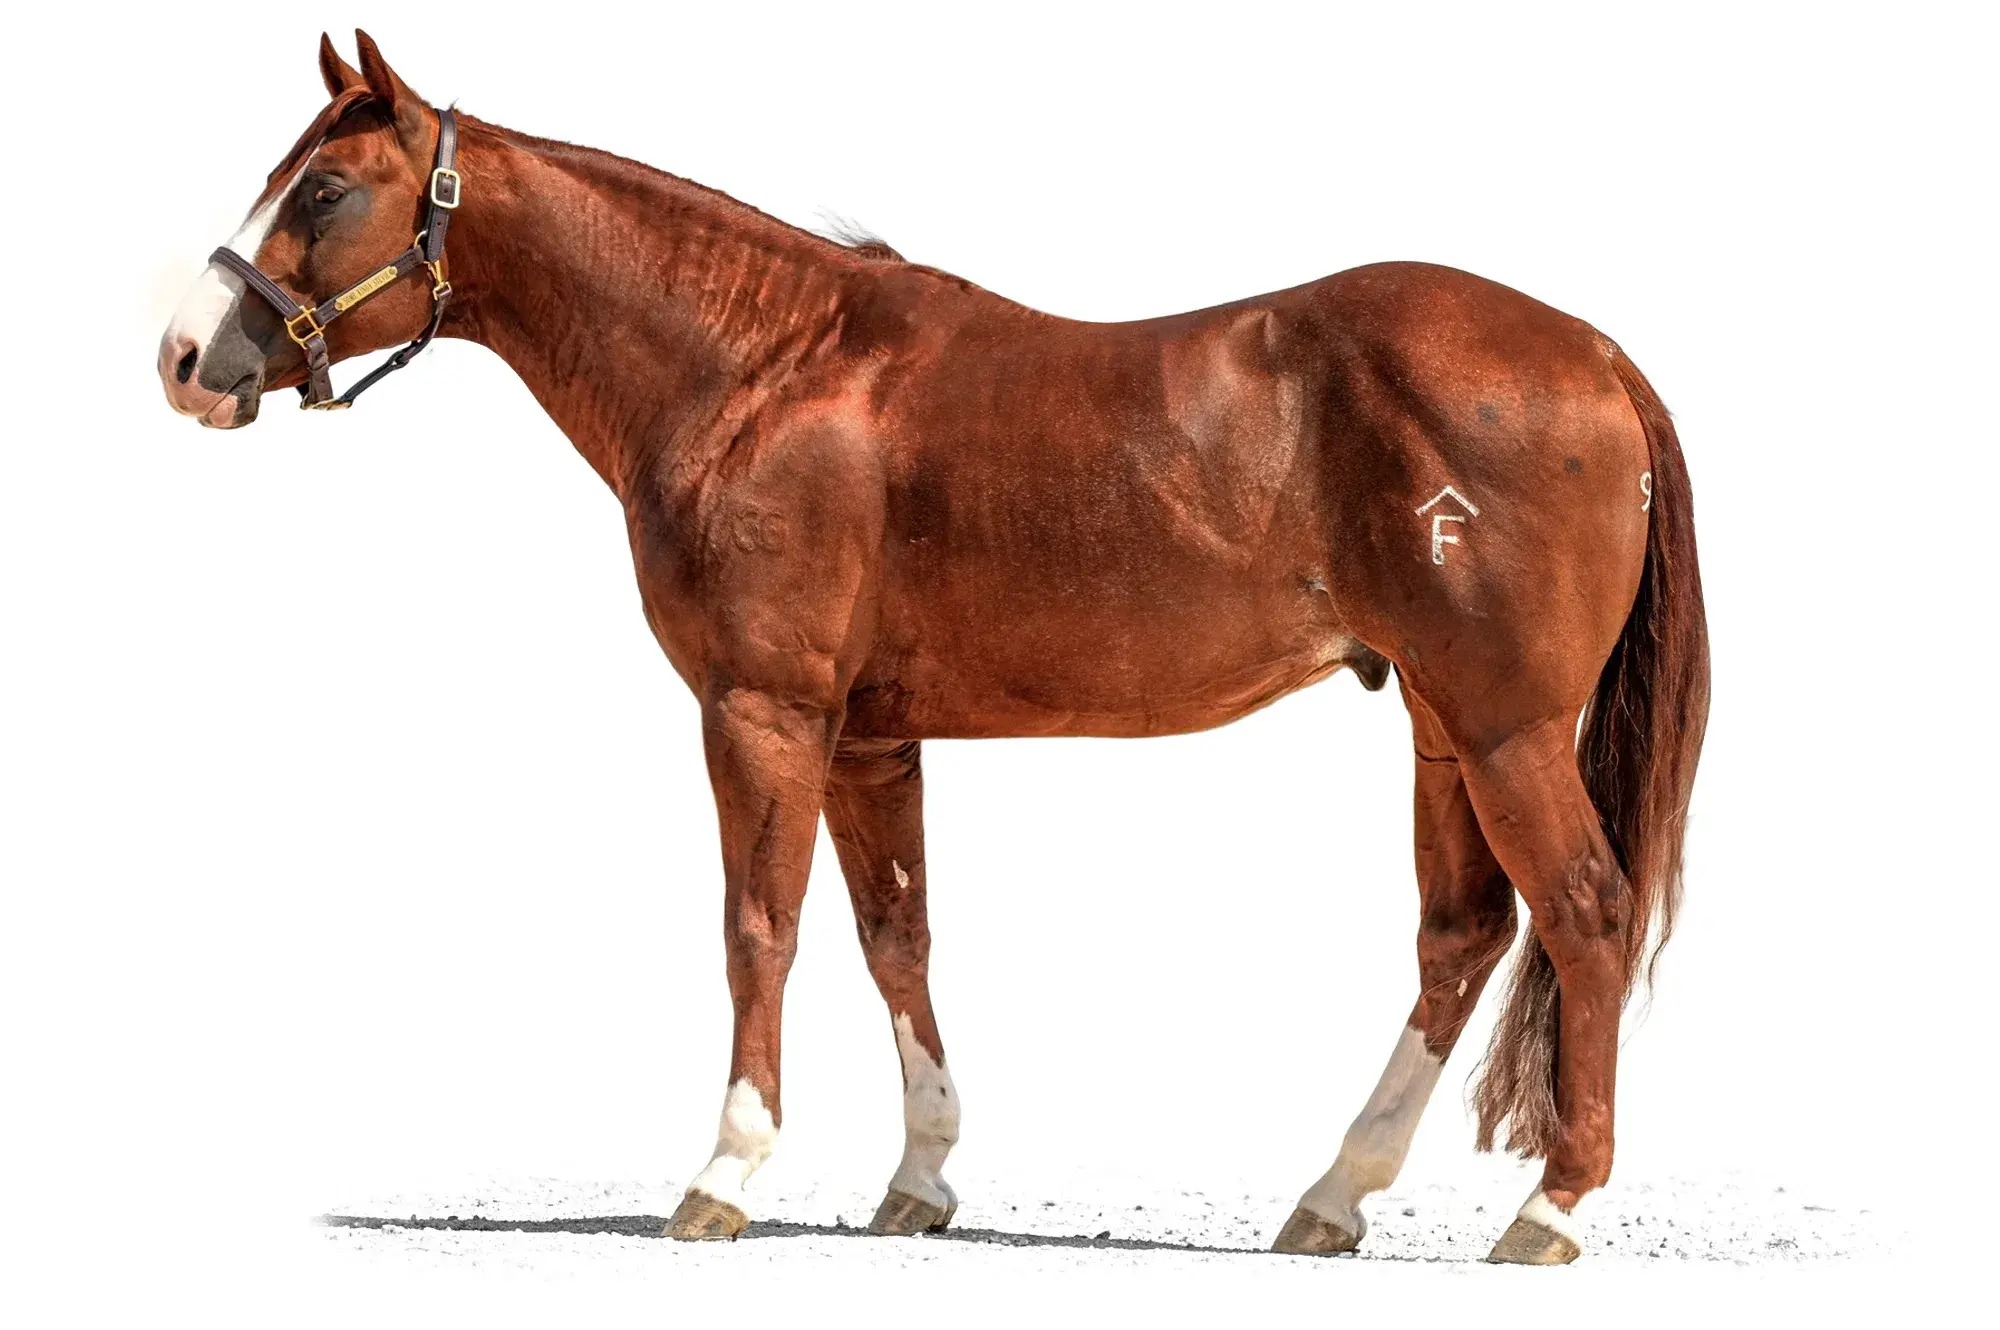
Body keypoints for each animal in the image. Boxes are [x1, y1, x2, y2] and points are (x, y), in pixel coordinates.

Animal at [157, 32, 1709, 1264]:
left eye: (323, 189)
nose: (184, 358)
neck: (762, 369)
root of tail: (1593, 353)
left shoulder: (763, 710)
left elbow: (759, 927)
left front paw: (724, 1172)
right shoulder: (868, 736)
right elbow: (892, 936)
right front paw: (919, 1178)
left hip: (1506, 728)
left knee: (1584, 913)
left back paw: (1548, 1210)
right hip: (1443, 724)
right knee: (1463, 937)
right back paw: (1334, 1196)